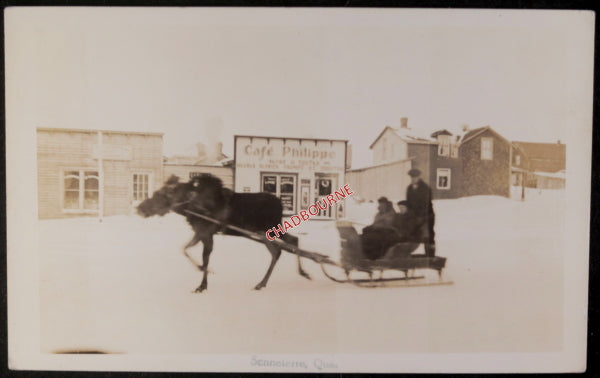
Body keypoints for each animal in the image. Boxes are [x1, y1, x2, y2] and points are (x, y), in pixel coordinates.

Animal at [136, 174, 310, 292]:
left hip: (269, 231)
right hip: (270, 231)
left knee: (280, 249)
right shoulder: (199, 233)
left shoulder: (207, 235)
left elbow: (205, 259)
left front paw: (202, 284)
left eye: (159, 195)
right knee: (290, 243)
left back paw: (266, 281)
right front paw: (201, 271)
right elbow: (184, 249)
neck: (189, 207)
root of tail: (280, 204)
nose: (139, 208)